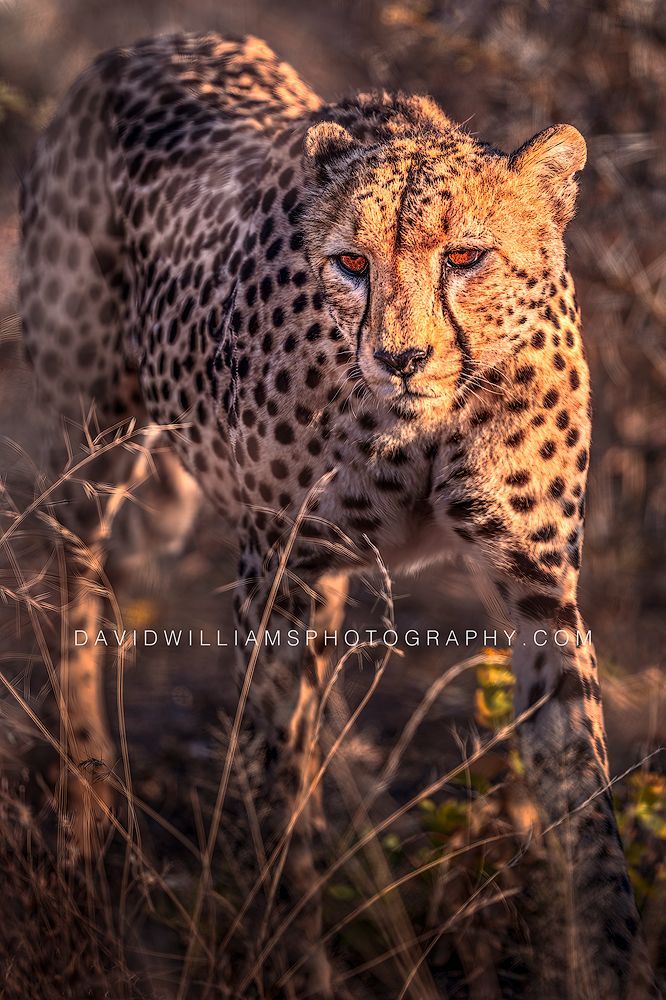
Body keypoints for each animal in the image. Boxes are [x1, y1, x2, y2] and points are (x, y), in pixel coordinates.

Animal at [18, 31, 655, 999]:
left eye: (465, 258)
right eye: (352, 263)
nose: (401, 358)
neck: (428, 421)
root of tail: (147, 42)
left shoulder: (536, 583)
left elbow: (580, 793)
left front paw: (609, 961)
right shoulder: (280, 567)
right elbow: (271, 781)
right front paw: (288, 956)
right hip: (87, 449)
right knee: (74, 602)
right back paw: (84, 810)